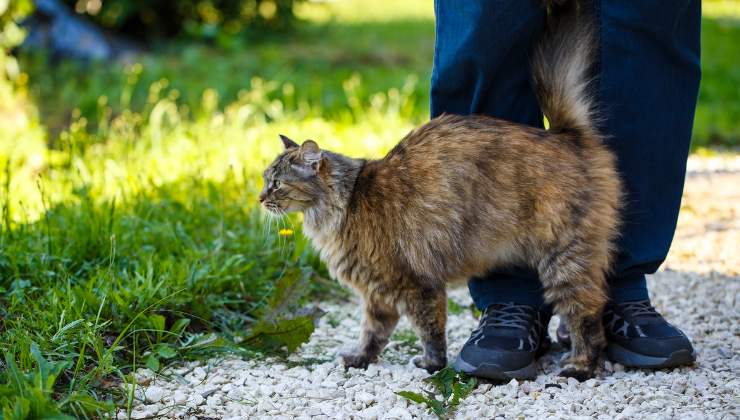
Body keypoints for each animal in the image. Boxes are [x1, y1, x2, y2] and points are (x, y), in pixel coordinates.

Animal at [258, 0, 620, 378]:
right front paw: (361, 359)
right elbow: (373, 332)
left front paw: (433, 364)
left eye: (277, 184)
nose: (259, 198)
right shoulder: (377, 293)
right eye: (265, 179)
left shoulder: (416, 283)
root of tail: (565, 135)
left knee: (587, 313)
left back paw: (580, 366)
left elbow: (428, 328)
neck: (345, 203)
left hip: (564, 257)